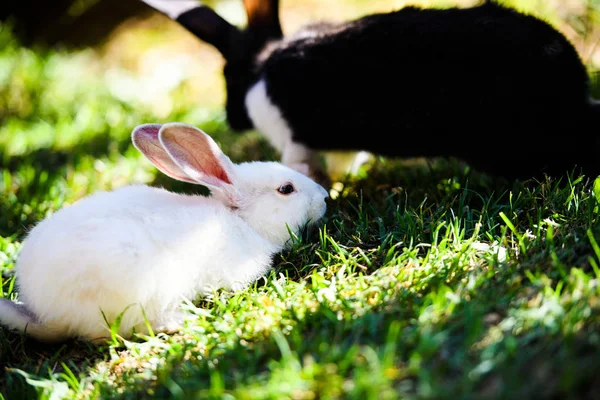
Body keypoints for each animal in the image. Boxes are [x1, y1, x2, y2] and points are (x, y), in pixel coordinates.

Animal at [141, 0, 600, 183]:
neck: (261, 64)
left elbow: (301, 164)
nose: (232, 119)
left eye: (226, 77)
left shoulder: (295, 140)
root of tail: (571, 84)